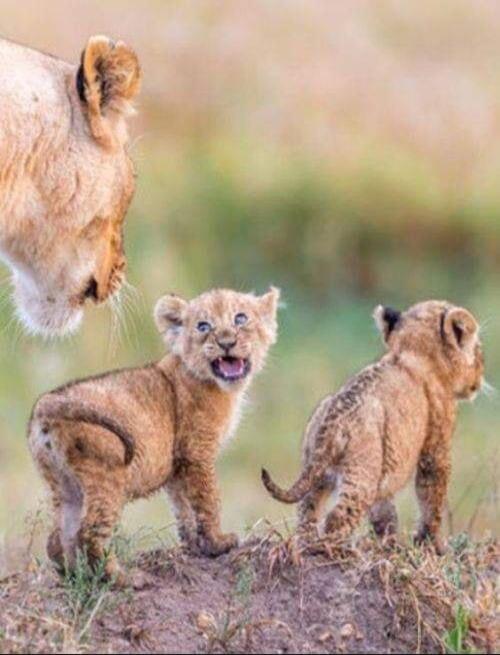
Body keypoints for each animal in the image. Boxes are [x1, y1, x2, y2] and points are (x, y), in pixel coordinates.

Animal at [28, 286, 280, 584]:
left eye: (240, 318)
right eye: (203, 326)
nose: (226, 342)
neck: (220, 386)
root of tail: (48, 401)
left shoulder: (177, 464)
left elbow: (183, 508)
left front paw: (195, 546)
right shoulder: (197, 452)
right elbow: (208, 499)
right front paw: (219, 542)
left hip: (63, 483)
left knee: (56, 538)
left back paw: (76, 577)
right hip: (107, 475)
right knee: (88, 532)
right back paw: (124, 578)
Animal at [262, 300, 484, 554]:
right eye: (477, 349)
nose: (480, 376)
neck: (411, 350)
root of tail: (334, 417)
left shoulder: (385, 466)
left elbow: (383, 512)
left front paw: (389, 544)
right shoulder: (436, 447)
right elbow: (432, 496)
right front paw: (432, 544)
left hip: (318, 471)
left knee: (307, 509)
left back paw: (306, 545)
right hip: (362, 475)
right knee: (337, 517)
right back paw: (337, 551)